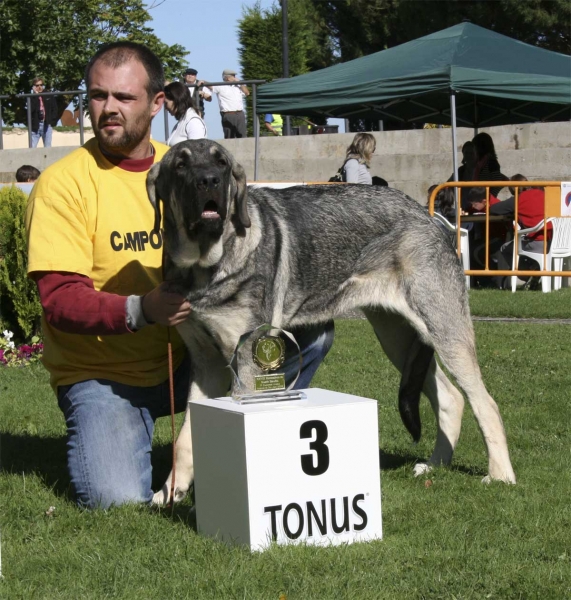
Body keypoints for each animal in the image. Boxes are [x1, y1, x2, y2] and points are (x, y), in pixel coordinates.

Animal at [147, 138, 520, 504]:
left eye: (221, 163)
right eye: (180, 165)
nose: (209, 180)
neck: (205, 266)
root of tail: (428, 217)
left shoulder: (246, 362)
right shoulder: (208, 365)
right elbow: (185, 439)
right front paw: (170, 491)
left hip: (443, 330)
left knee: (484, 402)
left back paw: (500, 475)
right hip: (398, 338)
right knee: (451, 398)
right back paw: (434, 465)